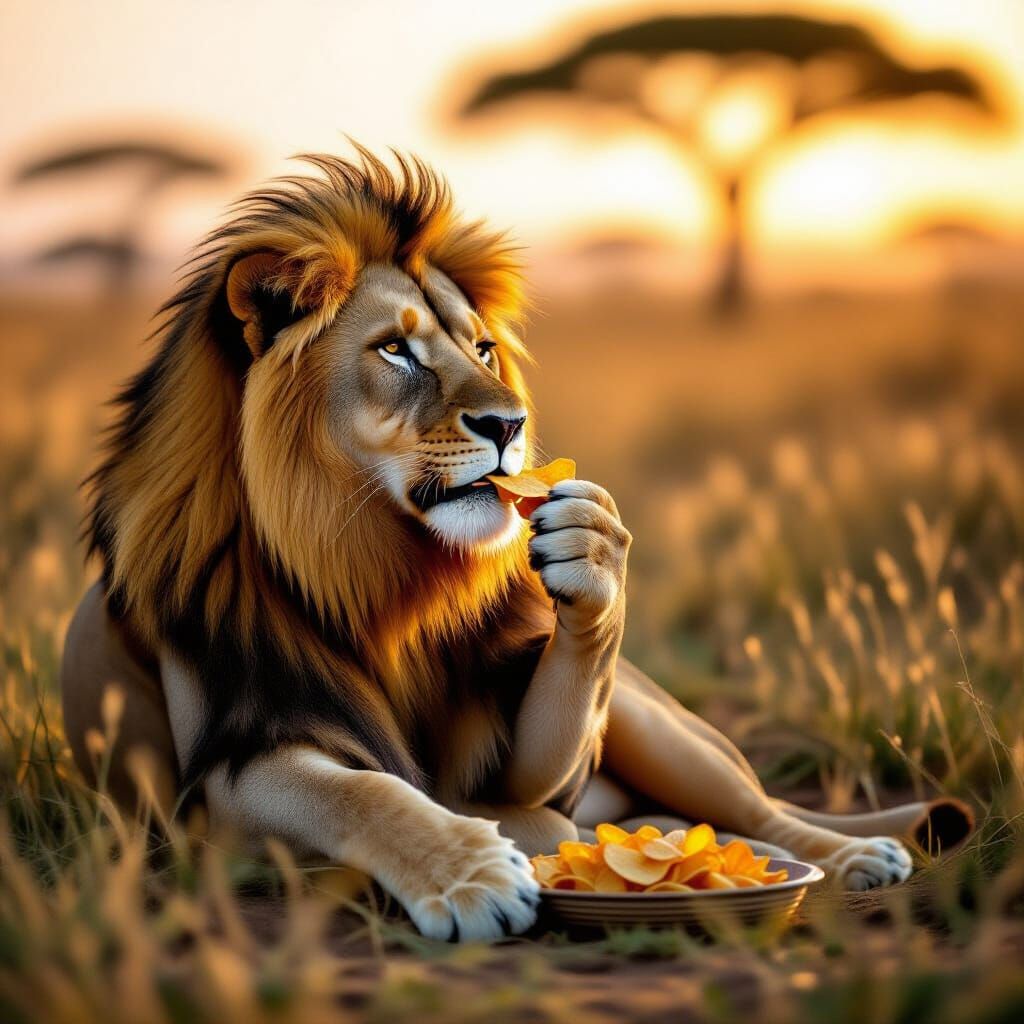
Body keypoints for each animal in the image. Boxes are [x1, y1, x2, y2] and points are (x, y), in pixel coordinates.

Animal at [61, 148, 972, 941]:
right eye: (394, 349)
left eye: (483, 347)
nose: (510, 424)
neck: (369, 568)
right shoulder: (228, 770)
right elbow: (368, 794)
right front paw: (471, 878)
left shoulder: (525, 757)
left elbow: (528, 784)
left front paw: (593, 556)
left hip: (651, 718)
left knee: (756, 807)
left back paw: (851, 855)